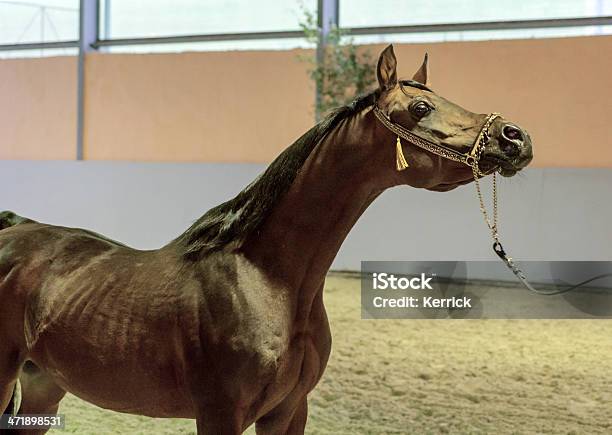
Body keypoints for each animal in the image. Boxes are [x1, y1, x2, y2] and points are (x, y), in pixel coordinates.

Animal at [0, 46, 532, 434]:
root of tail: (14, 227)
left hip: (43, 384)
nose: (515, 137)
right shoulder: (220, 414)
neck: (267, 281)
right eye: (421, 107)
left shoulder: (290, 410)